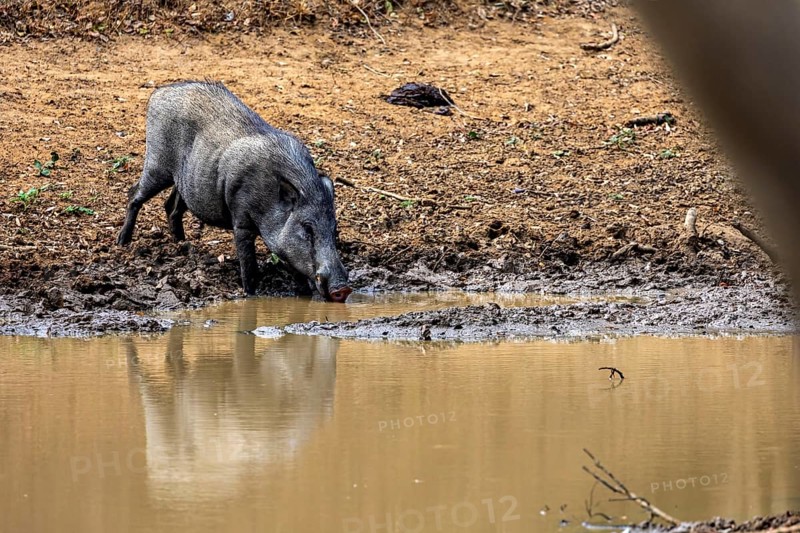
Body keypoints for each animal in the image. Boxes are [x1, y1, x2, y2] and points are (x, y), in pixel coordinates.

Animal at [116, 81, 352, 302]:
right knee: (133, 194)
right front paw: (250, 294)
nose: (343, 289)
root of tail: (158, 92)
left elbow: (298, 274)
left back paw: (182, 244)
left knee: (171, 207)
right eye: (307, 229)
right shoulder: (241, 221)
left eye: (334, 229)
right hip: (157, 165)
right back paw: (122, 242)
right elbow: (249, 268)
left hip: (183, 182)